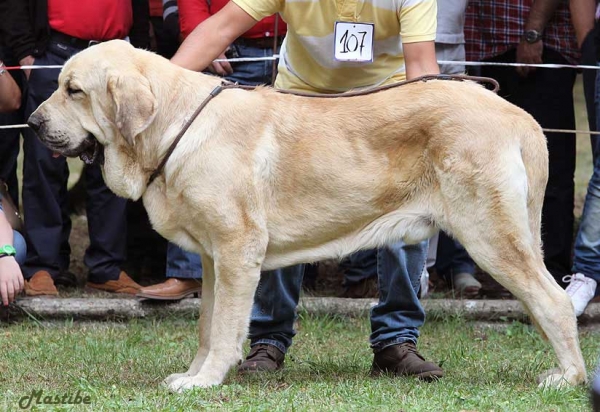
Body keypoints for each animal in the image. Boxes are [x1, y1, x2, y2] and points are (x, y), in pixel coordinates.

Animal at [29, 40, 584, 392]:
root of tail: (517, 116)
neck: (174, 126)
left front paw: (205, 381)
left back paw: (569, 378)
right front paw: (194, 373)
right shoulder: (213, 260)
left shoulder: (237, 251)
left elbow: (225, 327)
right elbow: (207, 324)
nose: (33, 122)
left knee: (553, 302)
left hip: (492, 235)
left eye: (74, 90)